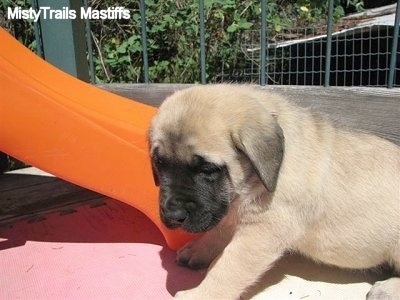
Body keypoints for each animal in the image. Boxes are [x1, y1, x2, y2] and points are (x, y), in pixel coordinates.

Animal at [148, 85, 400, 300]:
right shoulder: (231, 209)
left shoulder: (262, 231)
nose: (173, 214)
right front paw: (199, 248)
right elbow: (220, 231)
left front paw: (200, 294)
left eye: (207, 170)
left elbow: (227, 267)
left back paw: (388, 288)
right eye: (160, 163)